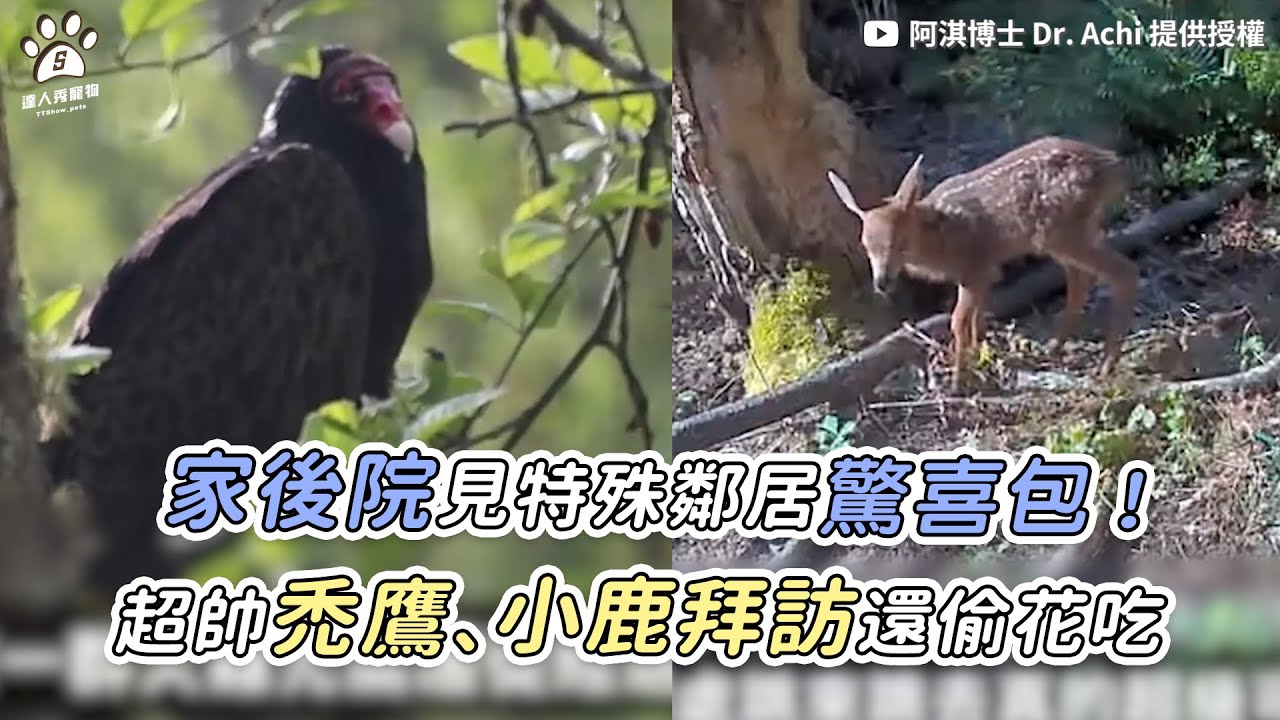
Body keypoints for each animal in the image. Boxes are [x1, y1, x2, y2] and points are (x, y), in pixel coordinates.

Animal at [825, 136, 1139, 388]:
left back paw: (1106, 366)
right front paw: (980, 361)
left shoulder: (975, 266)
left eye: (901, 242)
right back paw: (1055, 347)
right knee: (1081, 280)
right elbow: (978, 319)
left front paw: (959, 381)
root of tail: (1113, 165)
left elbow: (959, 320)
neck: (941, 238)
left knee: (1122, 271)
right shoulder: (985, 270)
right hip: (1067, 233)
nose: (882, 281)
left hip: (1063, 231)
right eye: (865, 245)